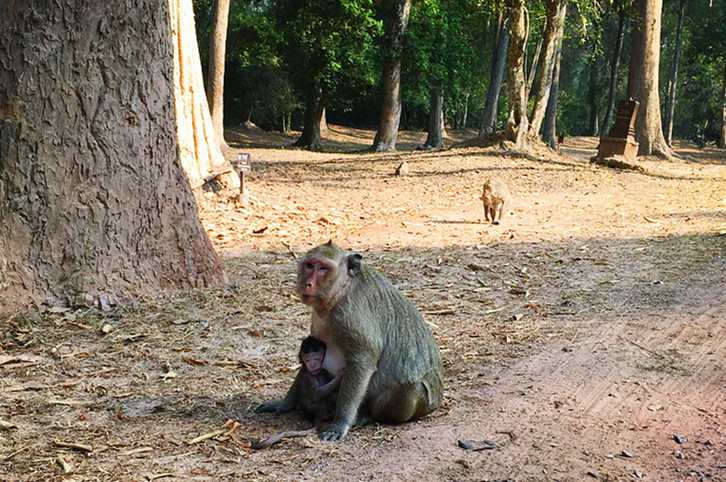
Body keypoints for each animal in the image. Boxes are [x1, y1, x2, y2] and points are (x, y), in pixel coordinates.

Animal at [258, 241, 446, 440]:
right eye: (309, 265)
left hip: (420, 402)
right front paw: (283, 404)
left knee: (409, 386)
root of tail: (436, 403)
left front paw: (340, 423)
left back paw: (366, 416)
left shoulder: (350, 315)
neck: (340, 291)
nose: (308, 283)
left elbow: (362, 361)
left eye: (323, 268)